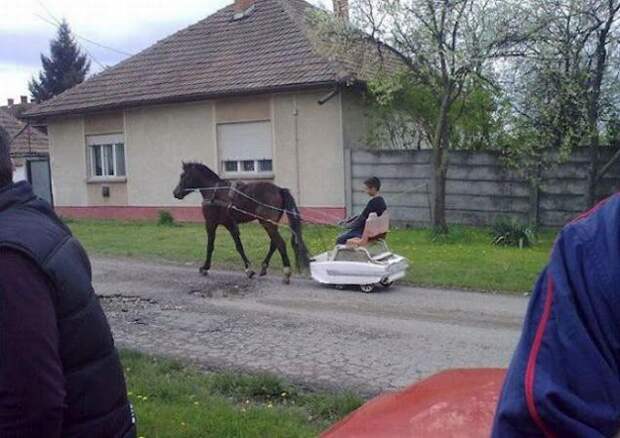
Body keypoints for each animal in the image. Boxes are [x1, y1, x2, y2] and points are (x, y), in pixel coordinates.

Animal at [172, 163, 310, 282]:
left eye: (183, 176)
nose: (175, 193)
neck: (214, 191)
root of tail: (279, 189)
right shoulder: (230, 224)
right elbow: (239, 246)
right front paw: (249, 269)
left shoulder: (211, 223)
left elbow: (210, 246)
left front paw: (205, 267)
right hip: (270, 223)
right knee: (274, 244)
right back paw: (264, 267)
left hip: (267, 223)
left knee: (280, 243)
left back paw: (286, 272)